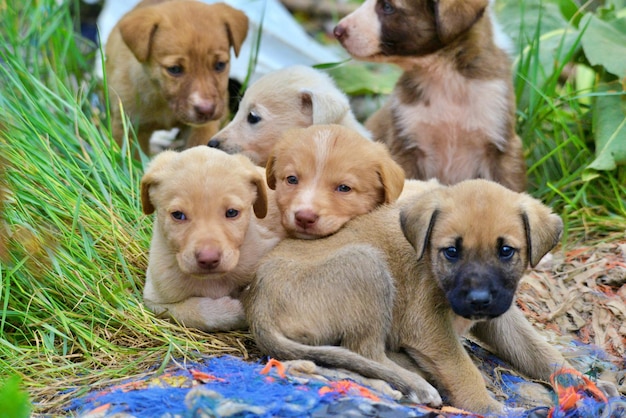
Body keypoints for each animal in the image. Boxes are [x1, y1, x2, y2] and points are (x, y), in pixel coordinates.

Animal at [104, 0, 246, 155]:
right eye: (175, 69)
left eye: (220, 65)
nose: (206, 110)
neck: (164, 102)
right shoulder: (128, 126)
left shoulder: (203, 126)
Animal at [141, 145, 282, 332]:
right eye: (178, 215)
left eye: (232, 212)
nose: (208, 259)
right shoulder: (154, 298)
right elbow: (189, 312)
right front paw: (233, 310)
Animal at [241, 180, 612, 414]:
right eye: (451, 251)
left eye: (506, 251)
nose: (479, 300)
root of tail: (257, 305)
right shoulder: (429, 326)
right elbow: (462, 368)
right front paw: (488, 407)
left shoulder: (500, 317)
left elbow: (540, 351)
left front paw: (580, 383)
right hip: (367, 264)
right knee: (364, 351)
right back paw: (415, 383)